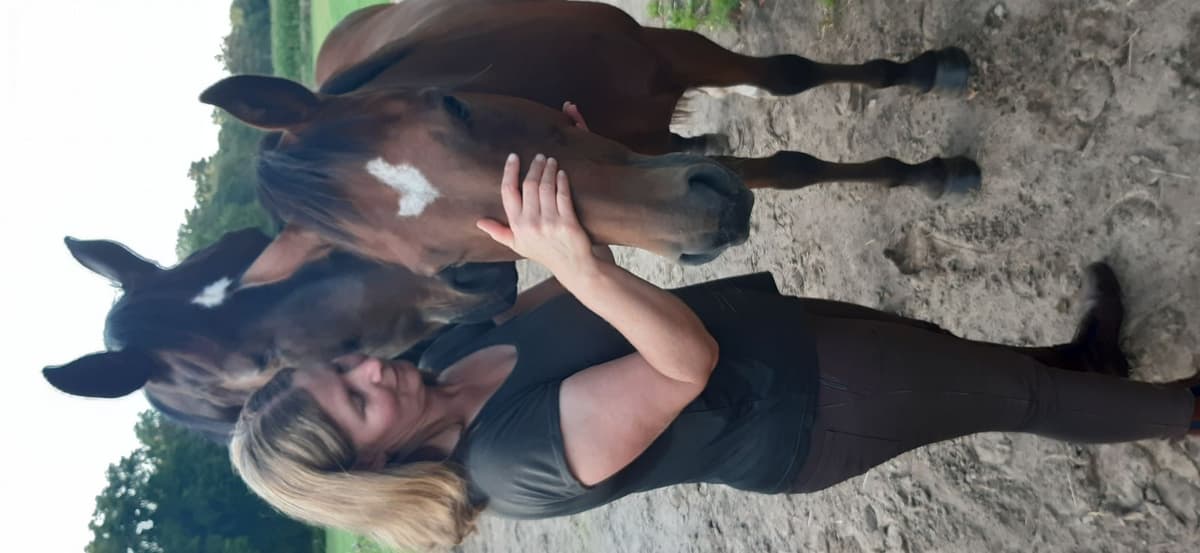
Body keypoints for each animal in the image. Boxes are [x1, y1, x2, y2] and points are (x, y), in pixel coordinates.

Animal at [200, 0, 980, 288]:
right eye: (450, 264)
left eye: (451, 103)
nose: (709, 217)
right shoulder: (660, 157)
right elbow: (789, 167)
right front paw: (930, 171)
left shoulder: (664, 55)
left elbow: (790, 78)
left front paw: (932, 95)